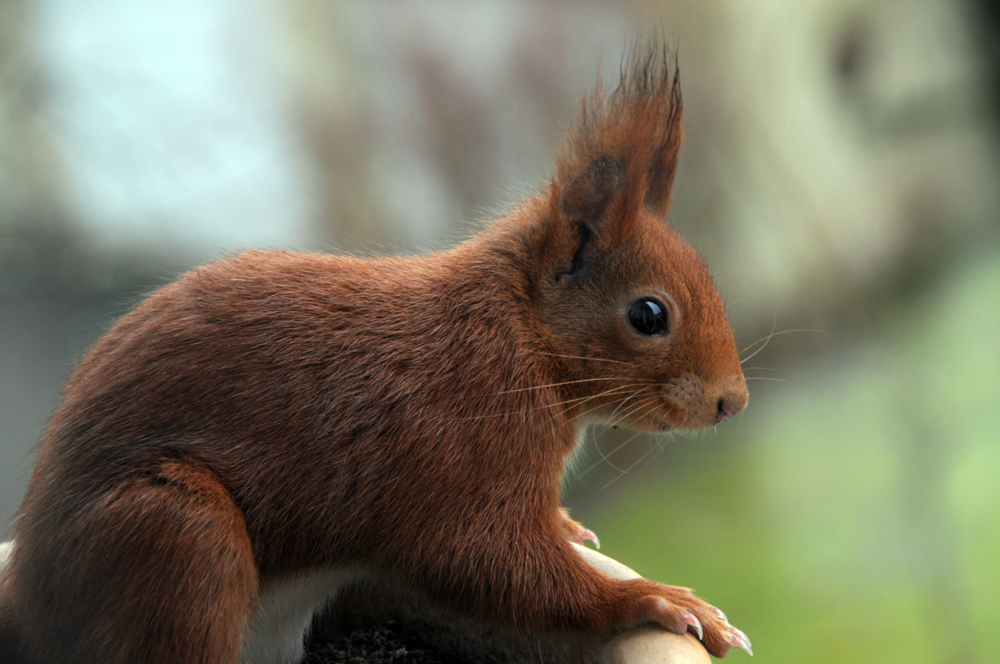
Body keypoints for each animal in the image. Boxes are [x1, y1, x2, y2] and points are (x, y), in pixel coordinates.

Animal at [0, 48, 752, 664]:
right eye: (648, 315)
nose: (732, 401)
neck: (520, 336)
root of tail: (29, 601)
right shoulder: (460, 457)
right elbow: (495, 565)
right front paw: (661, 601)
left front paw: (571, 527)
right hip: (175, 535)